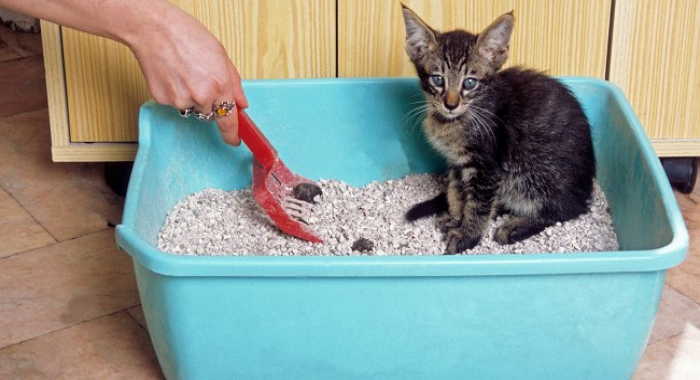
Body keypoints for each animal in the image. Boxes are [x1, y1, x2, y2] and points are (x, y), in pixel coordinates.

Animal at [402, 5, 592, 255]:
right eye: (438, 80)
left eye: (469, 82)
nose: (450, 104)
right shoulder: (457, 163)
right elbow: (456, 191)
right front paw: (455, 217)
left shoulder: (487, 167)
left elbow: (478, 205)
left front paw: (467, 236)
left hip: (535, 175)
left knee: (564, 210)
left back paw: (515, 227)